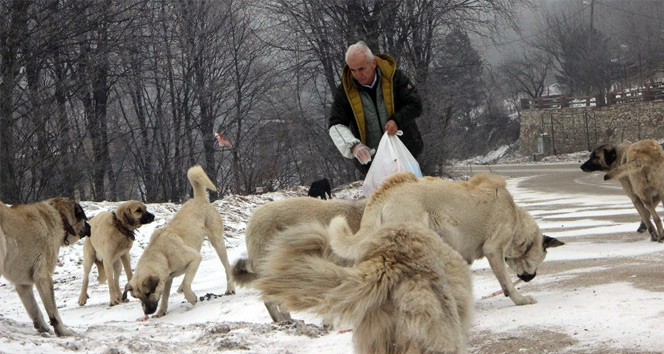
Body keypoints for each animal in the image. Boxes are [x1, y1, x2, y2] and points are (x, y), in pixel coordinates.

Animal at [0, 198, 91, 336]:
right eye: (82, 217)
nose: (90, 226)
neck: (60, 216)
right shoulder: (43, 275)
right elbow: (53, 310)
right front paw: (62, 330)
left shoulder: (22, 283)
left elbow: (34, 308)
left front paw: (42, 327)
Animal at [124, 166, 236, 318]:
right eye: (137, 297)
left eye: (148, 293)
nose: (147, 312)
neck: (162, 255)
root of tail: (199, 199)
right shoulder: (167, 278)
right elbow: (165, 296)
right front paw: (161, 311)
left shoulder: (195, 259)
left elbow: (187, 282)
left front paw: (192, 298)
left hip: (217, 242)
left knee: (226, 267)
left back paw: (230, 288)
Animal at [350, 173, 564, 306]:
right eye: (541, 258)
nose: (531, 277)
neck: (516, 220)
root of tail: (384, 192)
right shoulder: (493, 250)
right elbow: (506, 283)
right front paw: (520, 299)